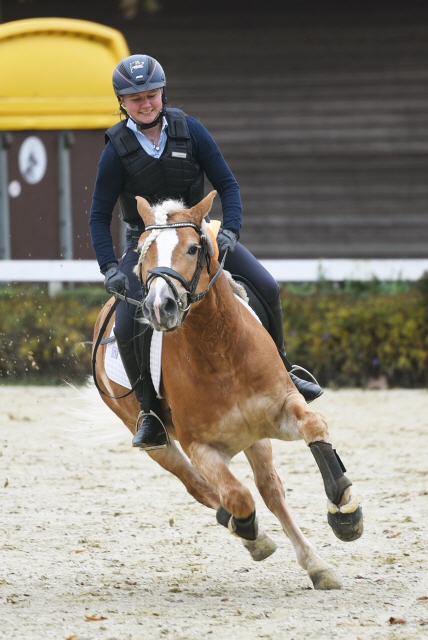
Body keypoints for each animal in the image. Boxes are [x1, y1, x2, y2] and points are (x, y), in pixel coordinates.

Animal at [93, 190, 362, 592]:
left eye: (192, 249)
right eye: (142, 250)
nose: (159, 307)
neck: (219, 348)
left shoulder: (281, 409)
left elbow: (314, 428)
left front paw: (345, 512)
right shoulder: (201, 447)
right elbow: (236, 495)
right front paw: (248, 528)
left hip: (254, 437)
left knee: (271, 490)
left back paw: (316, 565)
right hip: (161, 443)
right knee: (202, 488)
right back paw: (252, 535)